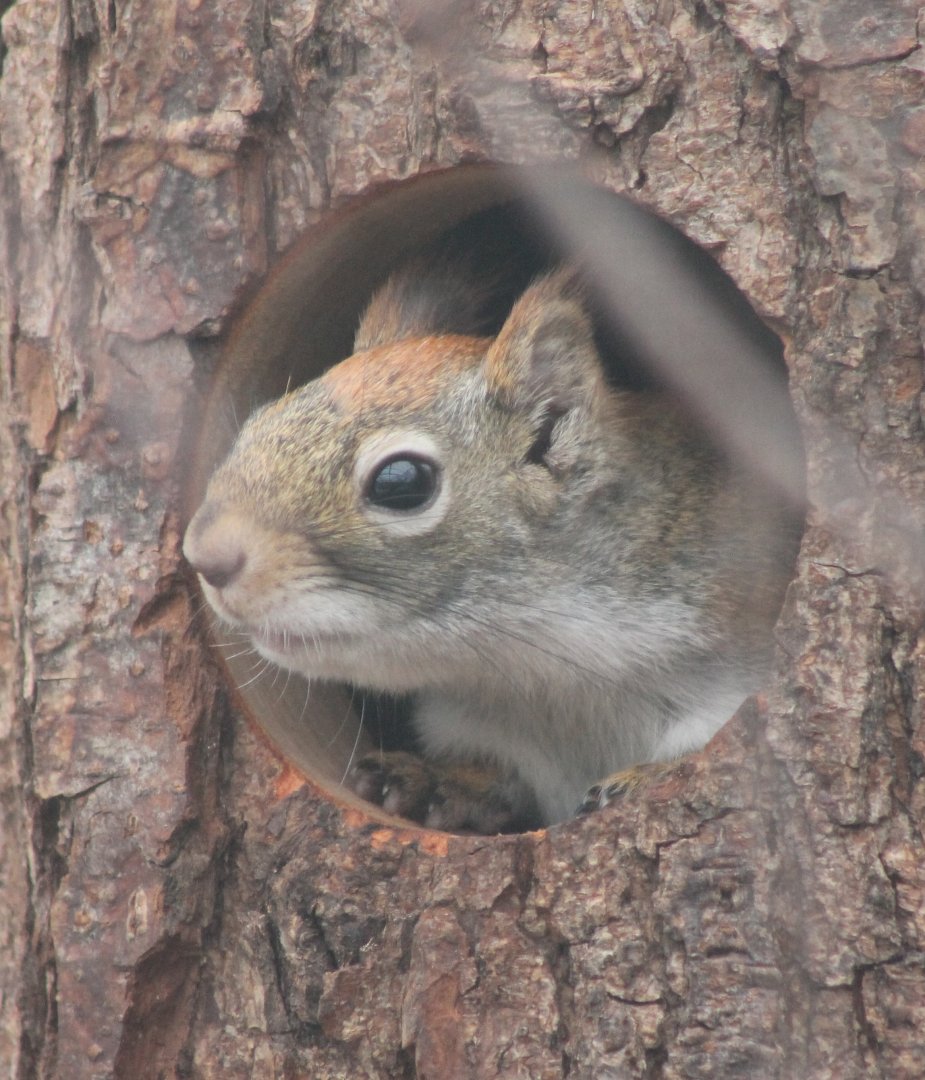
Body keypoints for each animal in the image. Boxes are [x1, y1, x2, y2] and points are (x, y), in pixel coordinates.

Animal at [183, 247, 802, 832]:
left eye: (402, 483)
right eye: (258, 421)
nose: (206, 557)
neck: (542, 673)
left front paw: (645, 777)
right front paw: (434, 780)